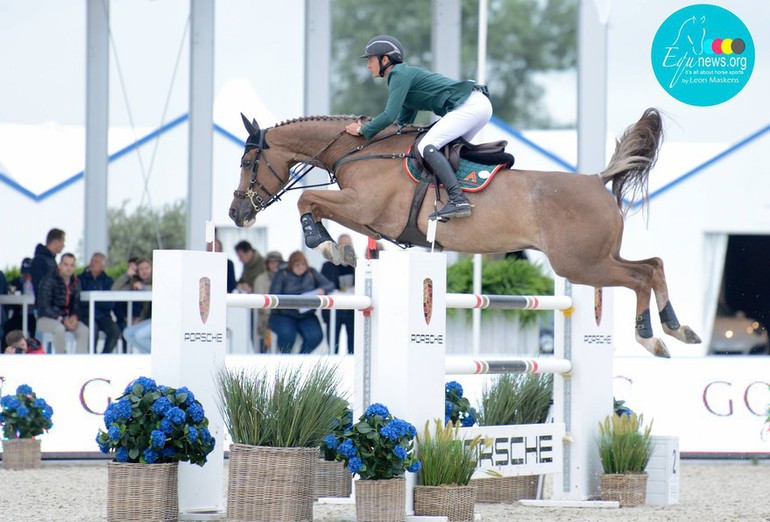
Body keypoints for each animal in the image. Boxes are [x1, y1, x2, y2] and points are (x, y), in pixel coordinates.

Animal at [225, 107, 700, 356]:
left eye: (248, 162)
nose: (236, 213)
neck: (358, 150)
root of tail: (598, 181)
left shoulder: (363, 208)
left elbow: (307, 201)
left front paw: (326, 246)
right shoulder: (365, 216)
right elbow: (316, 205)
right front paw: (337, 249)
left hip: (581, 264)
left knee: (640, 276)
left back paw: (651, 338)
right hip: (596, 258)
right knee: (654, 265)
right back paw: (678, 328)